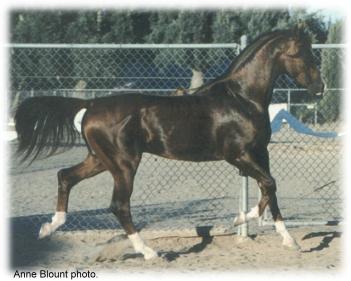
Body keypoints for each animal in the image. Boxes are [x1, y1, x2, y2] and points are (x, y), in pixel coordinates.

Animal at [15, 27, 326, 260]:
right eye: (301, 53)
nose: (320, 88)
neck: (242, 98)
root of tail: (90, 105)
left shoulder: (261, 154)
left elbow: (270, 191)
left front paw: (290, 241)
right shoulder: (238, 155)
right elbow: (269, 186)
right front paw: (240, 219)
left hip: (100, 159)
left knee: (65, 176)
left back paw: (48, 228)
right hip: (124, 164)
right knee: (119, 205)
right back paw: (148, 252)